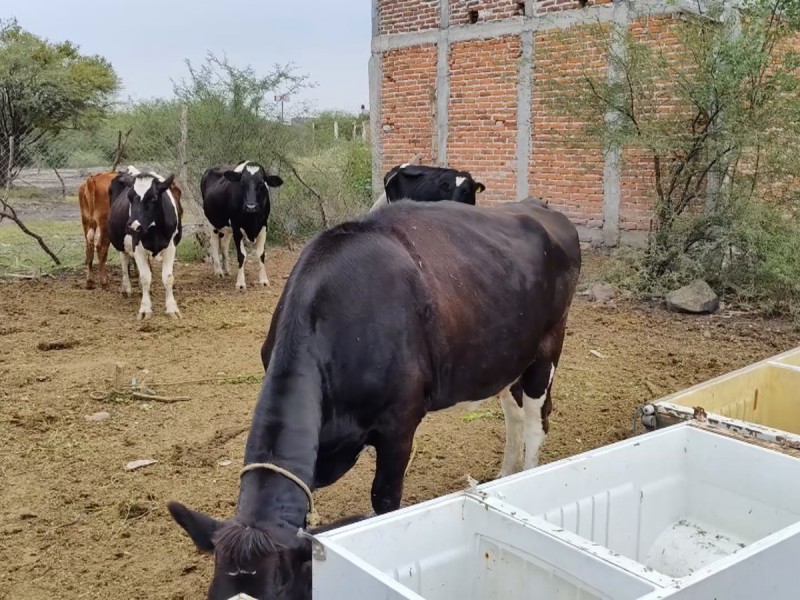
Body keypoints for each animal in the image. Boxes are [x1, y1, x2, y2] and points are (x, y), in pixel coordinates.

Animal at [108, 166, 184, 322]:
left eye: (153, 198)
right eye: (129, 197)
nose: (133, 227)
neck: (154, 230)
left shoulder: (171, 246)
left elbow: (168, 278)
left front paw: (172, 308)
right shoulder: (137, 246)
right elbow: (145, 278)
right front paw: (145, 309)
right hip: (121, 242)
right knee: (124, 261)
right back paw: (127, 288)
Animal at [169, 198, 580, 600]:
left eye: (278, 595)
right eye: (213, 595)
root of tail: (542, 208)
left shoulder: (399, 425)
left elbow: (384, 500)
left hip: (546, 350)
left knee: (536, 422)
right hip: (505, 359)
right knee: (513, 414)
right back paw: (505, 474)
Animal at [200, 159, 284, 290]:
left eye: (261, 183)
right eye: (242, 183)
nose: (251, 206)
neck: (252, 220)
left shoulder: (263, 225)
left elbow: (261, 253)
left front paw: (263, 280)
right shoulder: (237, 227)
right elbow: (241, 255)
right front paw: (240, 283)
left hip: (227, 229)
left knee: (224, 245)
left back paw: (227, 270)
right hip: (213, 223)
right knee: (213, 243)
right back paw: (219, 271)